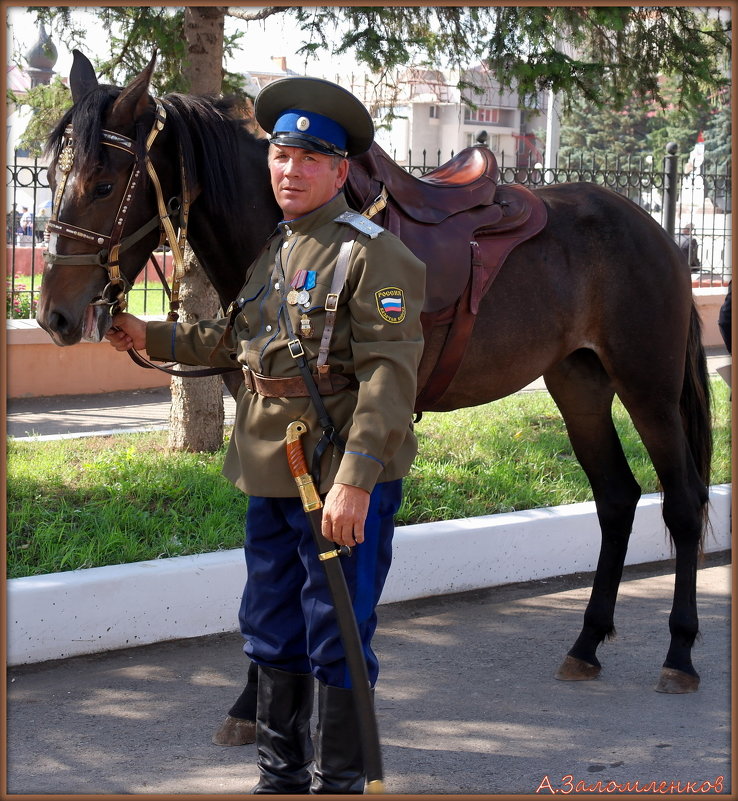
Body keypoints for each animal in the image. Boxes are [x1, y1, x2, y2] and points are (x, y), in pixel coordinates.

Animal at [37, 53, 712, 696]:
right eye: (49, 176)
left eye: (103, 183)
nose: (55, 316)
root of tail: (652, 228)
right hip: (580, 387)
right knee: (618, 498)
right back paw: (587, 642)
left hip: (648, 388)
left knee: (681, 502)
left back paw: (680, 653)